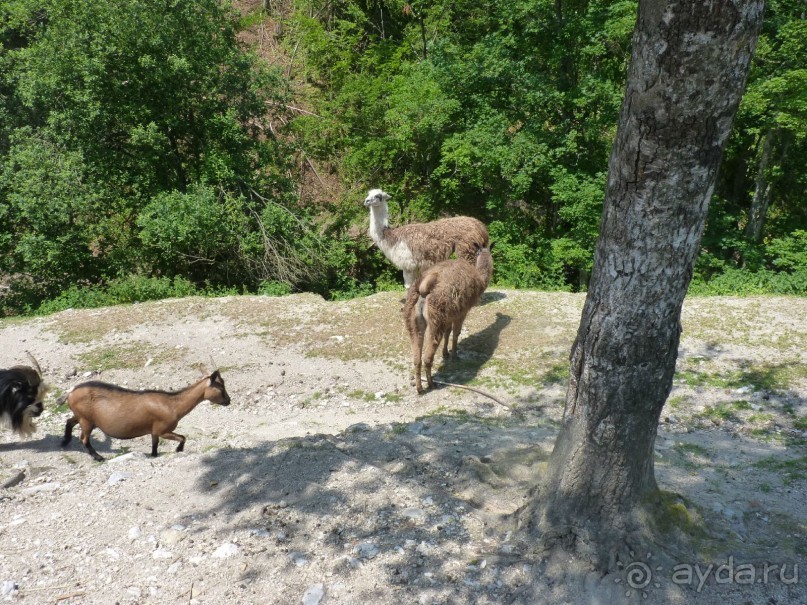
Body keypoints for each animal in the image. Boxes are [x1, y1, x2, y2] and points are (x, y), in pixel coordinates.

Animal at [60, 370, 229, 460]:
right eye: (221, 388)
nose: (228, 400)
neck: (173, 404)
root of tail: (70, 393)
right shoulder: (163, 429)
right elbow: (183, 437)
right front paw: (178, 450)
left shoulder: (154, 431)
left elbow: (154, 444)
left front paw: (153, 455)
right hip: (86, 420)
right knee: (84, 438)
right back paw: (98, 457)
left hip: (82, 416)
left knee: (69, 421)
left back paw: (65, 441)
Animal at [402, 243, 492, 394]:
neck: (479, 278)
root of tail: (424, 285)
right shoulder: (462, 312)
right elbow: (456, 333)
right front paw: (454, 355)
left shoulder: (450, 314)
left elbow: (448, 332)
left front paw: (445, 353)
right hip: (436, 319)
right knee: (427, 357)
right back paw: (431, 384)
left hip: (413, 319)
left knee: (416, 358)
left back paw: (420, 388)